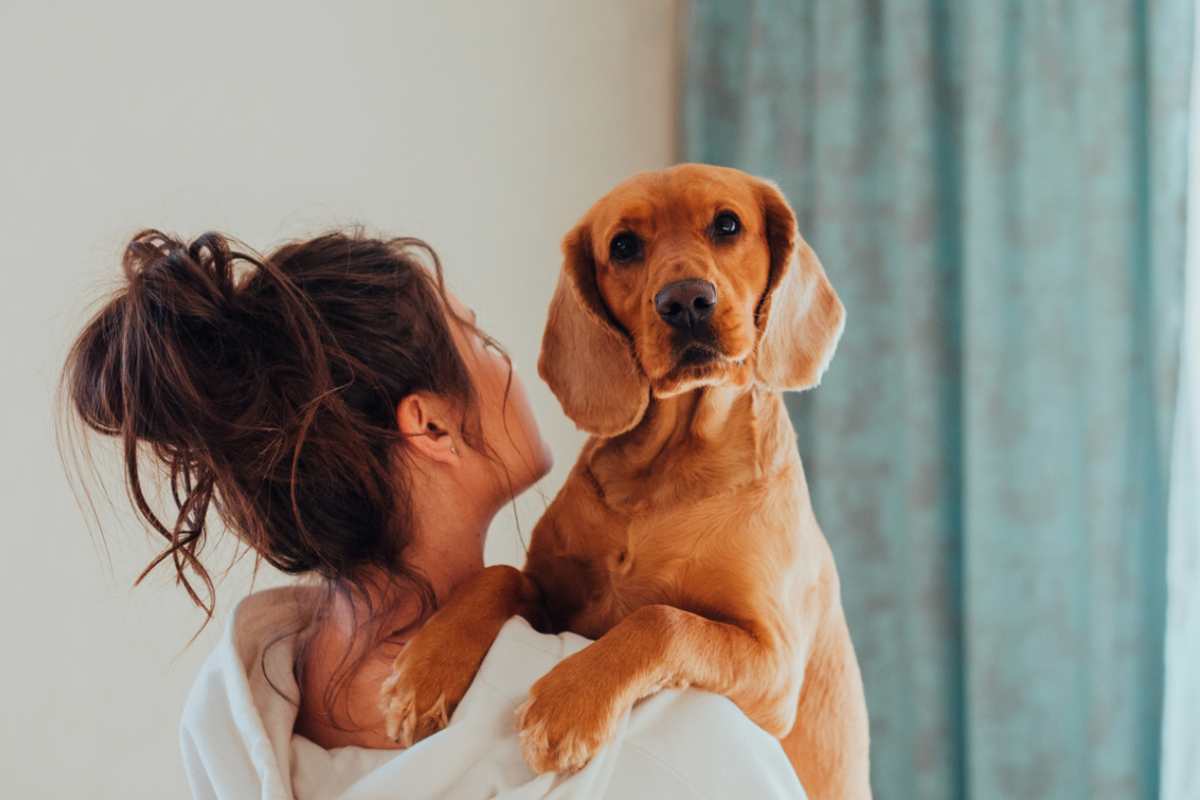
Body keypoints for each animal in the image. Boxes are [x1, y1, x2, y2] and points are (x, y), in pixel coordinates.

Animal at [379, 164, 868, 800]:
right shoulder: (553, 600)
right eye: (624, 246)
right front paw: (425, 670)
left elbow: (661, 620)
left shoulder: (773, 663)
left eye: (728, 225)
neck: (666, 472)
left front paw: (568, 703)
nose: (685, 301)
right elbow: (498, 574)